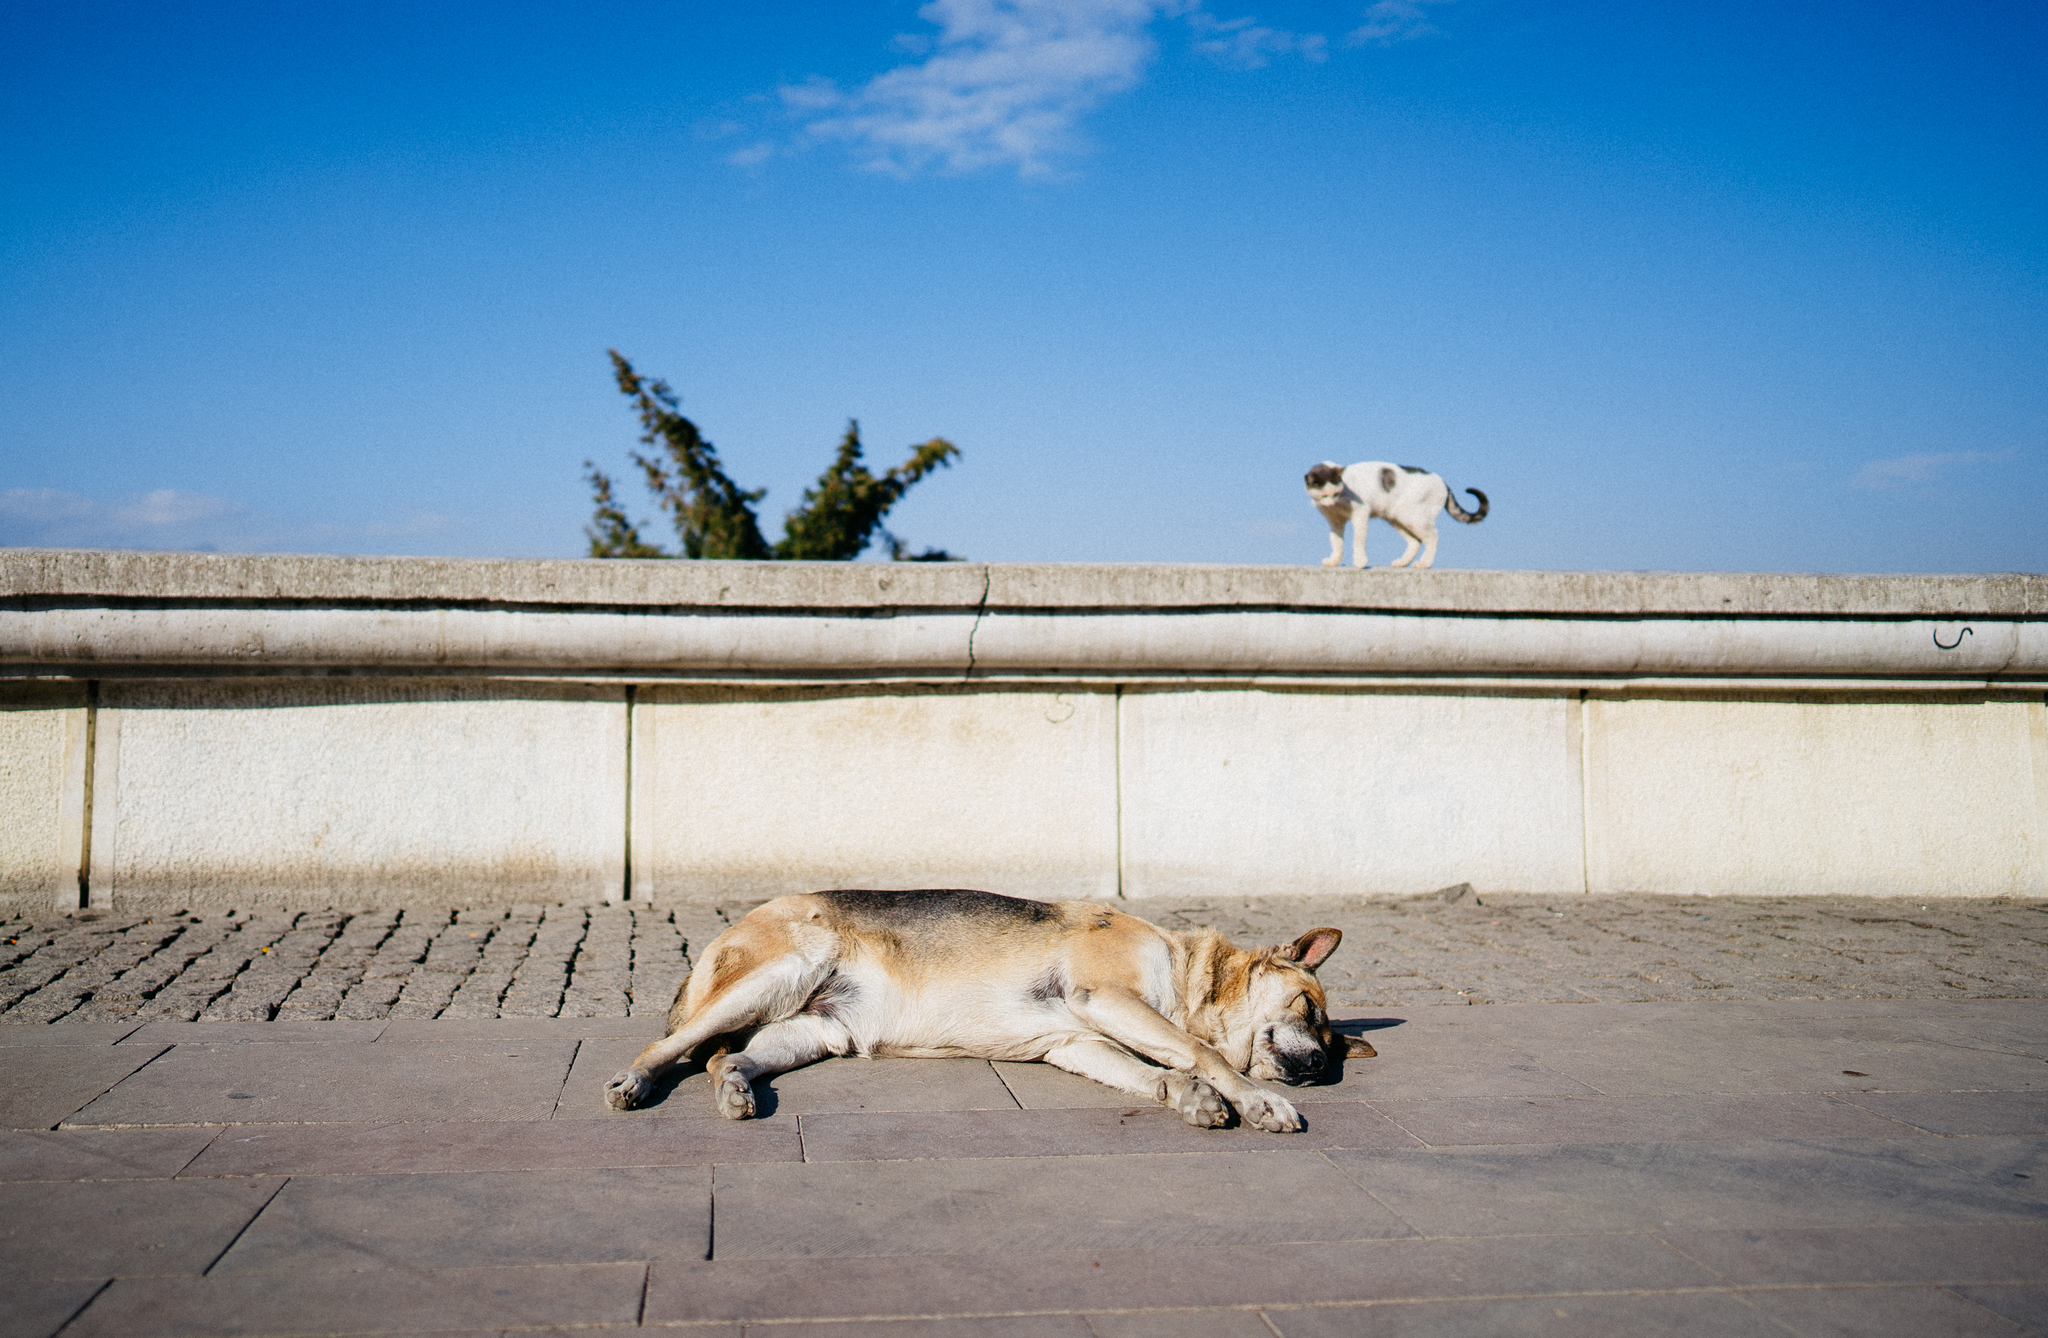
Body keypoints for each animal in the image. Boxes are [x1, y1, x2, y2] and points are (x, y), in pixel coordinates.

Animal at [606, 885, 1376, 1131]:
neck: (1187, 975)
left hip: (812, 1031)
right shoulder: (1108, 999)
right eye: (1310, 1009)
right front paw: (1257, 1101)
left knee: (725, 1059)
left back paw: (736, 1091)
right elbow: (1206, 1054)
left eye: (1336, 1046)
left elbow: (1161, 1072)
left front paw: (1190, 1099)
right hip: (784, 968)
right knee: (668, 1048)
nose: (1320, 1069)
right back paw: (635, 1081)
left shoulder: (1081, 1041)